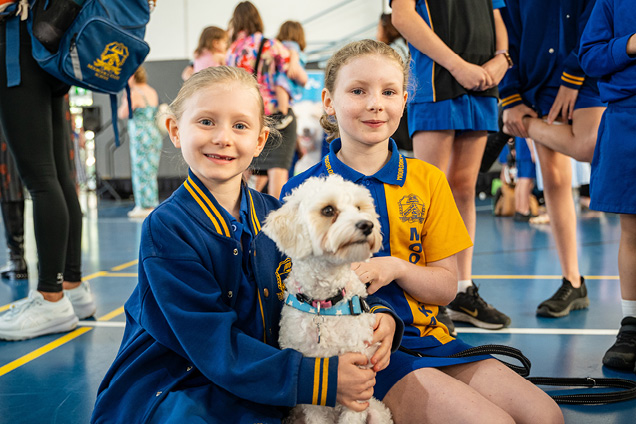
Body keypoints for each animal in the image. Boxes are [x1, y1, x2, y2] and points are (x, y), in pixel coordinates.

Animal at [262, 175, 392, 424]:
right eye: (328, 210)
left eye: (359, 207)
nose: (367, 224)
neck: (325, 303)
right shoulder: (315, 395)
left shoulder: (360, 381)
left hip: (378, 412)